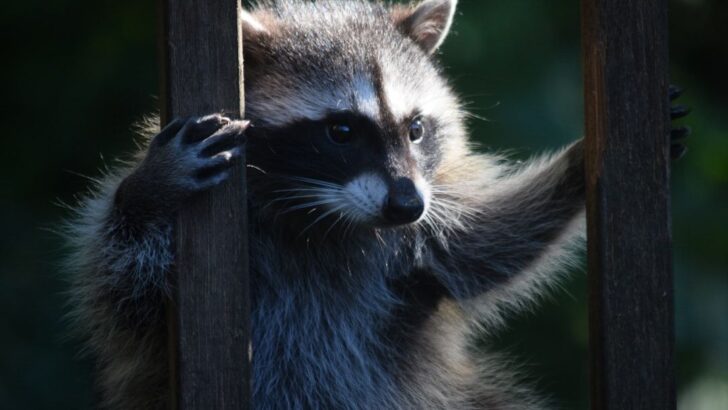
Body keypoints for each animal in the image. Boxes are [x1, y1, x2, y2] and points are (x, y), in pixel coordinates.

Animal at [63, 0, 684, 409]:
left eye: (415, 128)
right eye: (341, 131)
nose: (407, 206)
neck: (325, 219)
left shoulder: (414, 235)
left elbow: (478, 249)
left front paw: (579, 166)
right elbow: (124, 288)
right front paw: (149, 190)